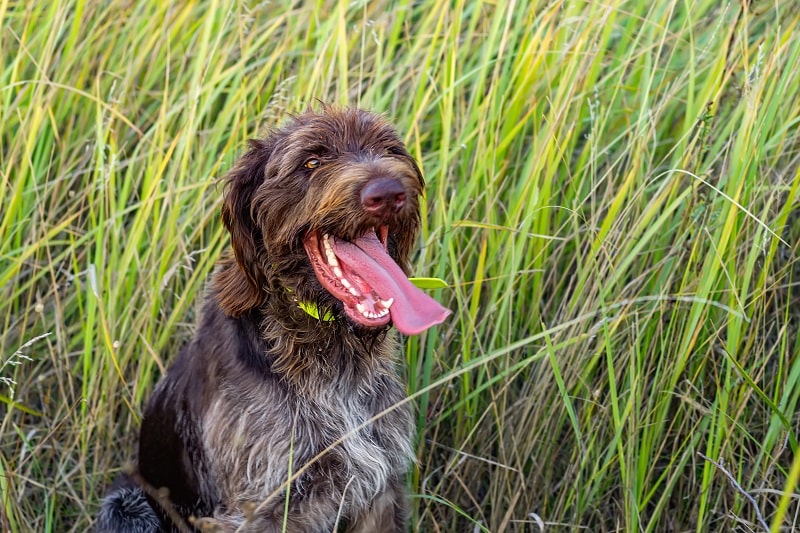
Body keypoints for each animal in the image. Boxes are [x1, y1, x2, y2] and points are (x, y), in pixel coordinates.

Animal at [95, 106, 450, 528]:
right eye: (311, 161)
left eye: (390, 149)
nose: (388, 192)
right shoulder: (259, 509)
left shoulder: (380, 492)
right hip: (127, 504)